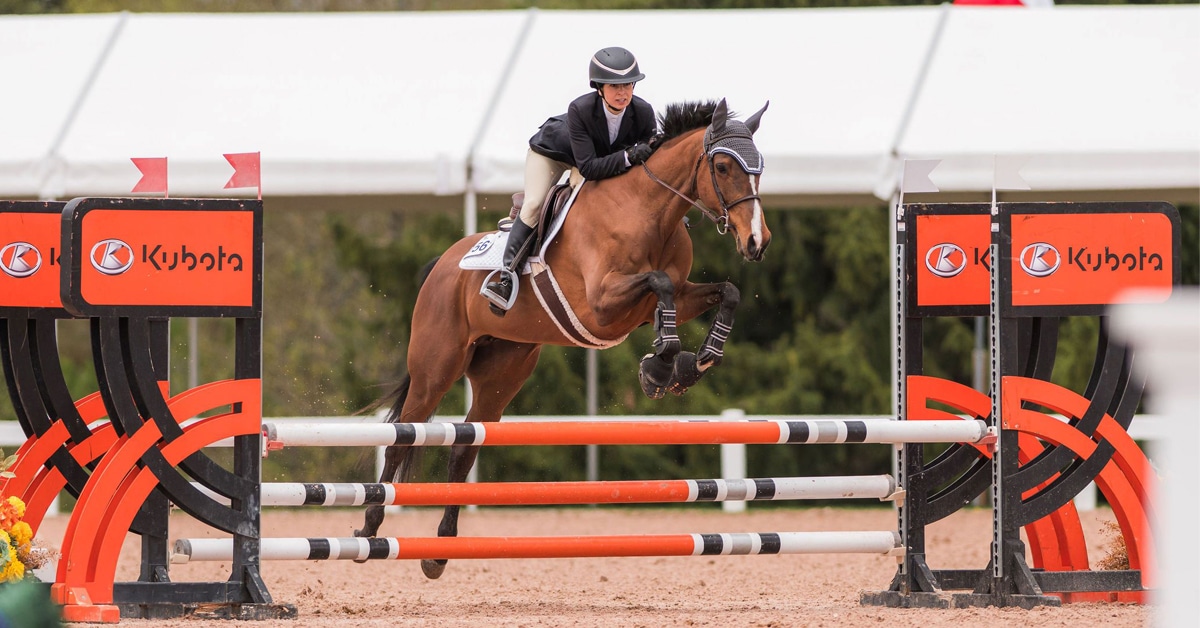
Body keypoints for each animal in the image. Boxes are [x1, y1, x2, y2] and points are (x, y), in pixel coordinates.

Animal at [355, 98, 771, 579]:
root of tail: (442, 263)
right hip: (436, 368)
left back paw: (439, 552)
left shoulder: (669, 299)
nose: (757, 242)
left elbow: (724, 292)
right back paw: (369, 529)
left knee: (463, 449)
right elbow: (660, 282)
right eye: (722, 166)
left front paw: (692, 363)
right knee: (402, 440)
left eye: (760, 168)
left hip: (502, 375)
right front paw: (661, 367)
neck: (649, 212)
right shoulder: (603, 306)